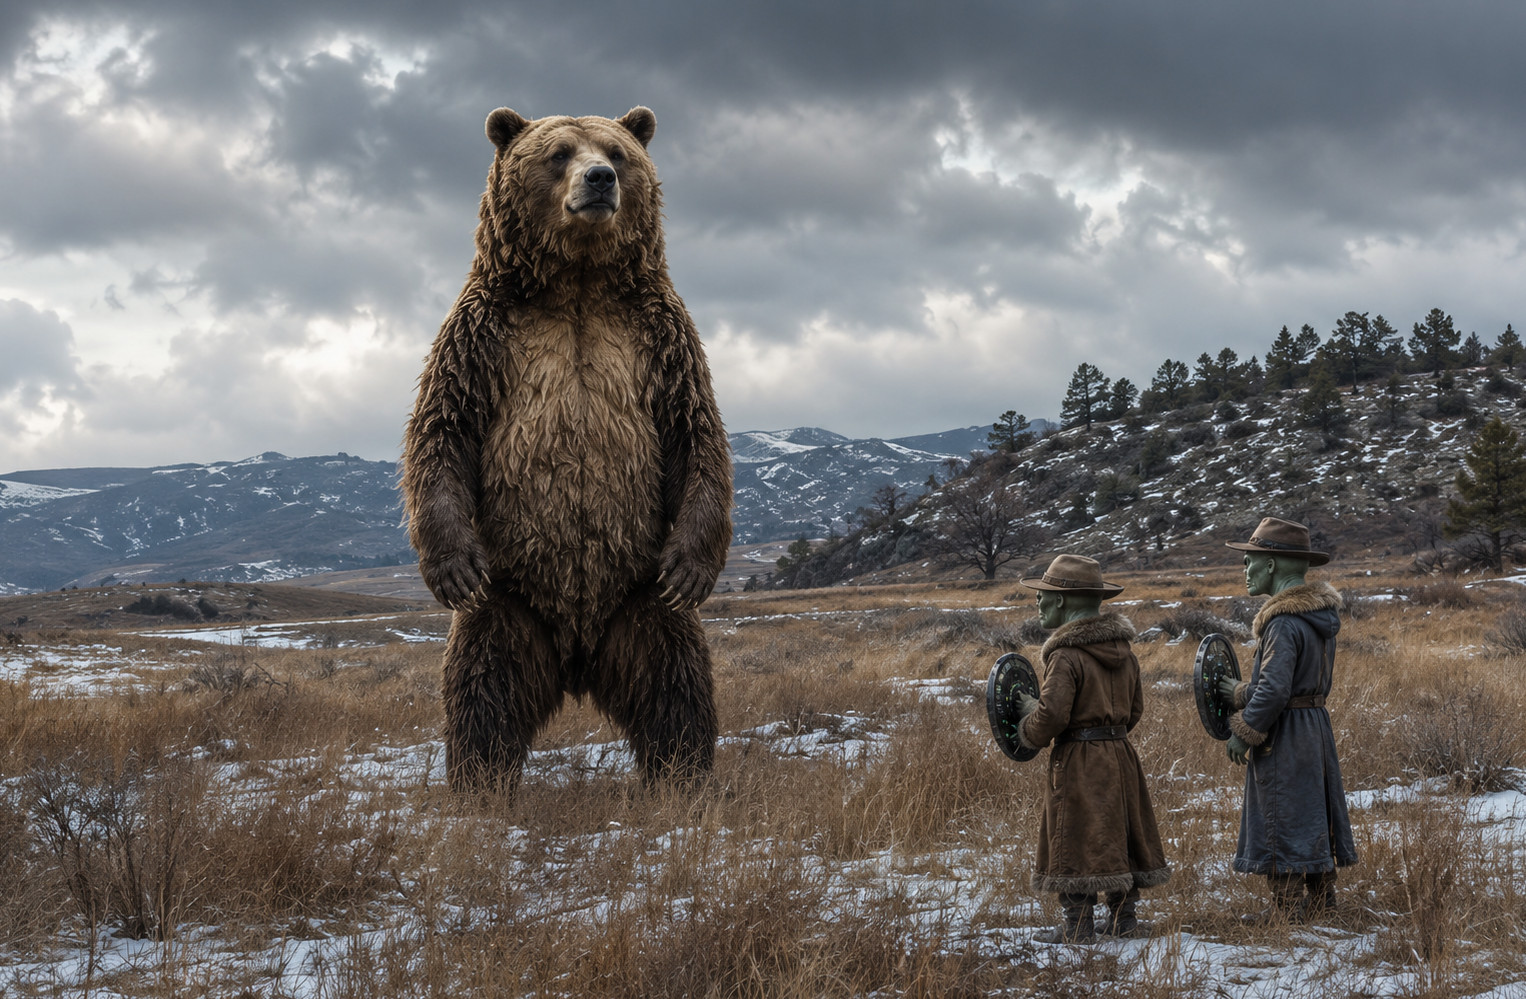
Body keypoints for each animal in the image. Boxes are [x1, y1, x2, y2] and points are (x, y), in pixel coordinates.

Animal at [400, 106, 732, 793]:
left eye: (617, 150)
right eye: (559, 153)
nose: (600, 179)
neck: (577, 284)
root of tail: (579, 663)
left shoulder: (661, 340)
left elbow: (695, 436)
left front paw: (692, 567)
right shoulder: (481, 335)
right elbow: (444, 429)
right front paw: (449, 566)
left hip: (640, 598)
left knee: (676, 685)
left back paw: (684, 778)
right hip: (508, 602)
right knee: (483, 689)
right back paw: (479, 785)